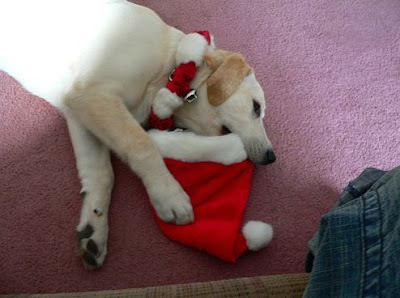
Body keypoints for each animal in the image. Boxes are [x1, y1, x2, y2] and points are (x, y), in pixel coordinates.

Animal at [0, 0, 276, 268]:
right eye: (256, 107)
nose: (271, 157)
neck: (168, 68)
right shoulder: (93, 95)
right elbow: (142, 144)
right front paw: (168, 195)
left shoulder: (78, 111)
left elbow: (101, 174)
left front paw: (94, 227)